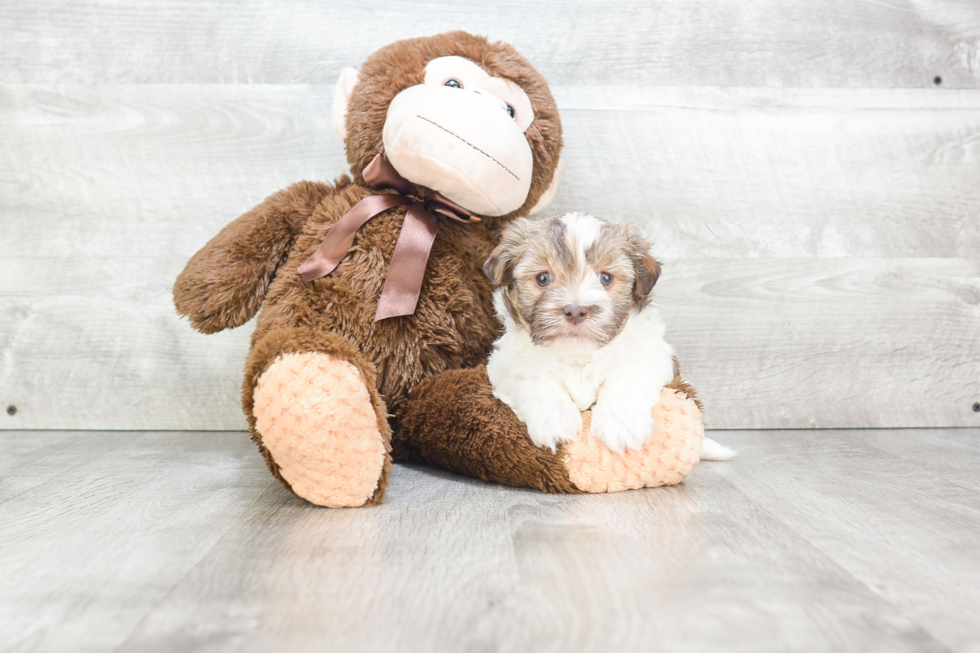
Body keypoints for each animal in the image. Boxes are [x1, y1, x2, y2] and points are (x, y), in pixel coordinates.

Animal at [486, 213, 732, 458]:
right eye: (543, 278)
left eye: (605, 278)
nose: (575, 310)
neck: (578, 355)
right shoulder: (505, 366)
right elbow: (534, 381)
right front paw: (555, 420)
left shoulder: (652, 356)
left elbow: (626, 379)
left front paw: (622, 426)